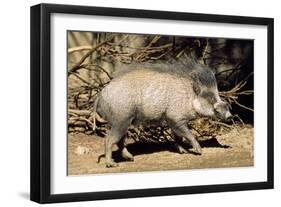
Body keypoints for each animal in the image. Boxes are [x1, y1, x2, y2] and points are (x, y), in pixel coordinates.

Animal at [93, 59, 231, 167]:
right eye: (211, 98)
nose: (230, 115)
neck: (189, 97)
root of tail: (100, 95)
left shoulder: (174, 121)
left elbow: (178, 137)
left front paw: (184, 151)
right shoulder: (174, 118)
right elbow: (187, 133)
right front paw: (199, 151)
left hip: (123, 122)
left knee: (119, 141)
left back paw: (130, 158)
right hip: (121, 120)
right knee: (109, 140)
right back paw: (112, 164)